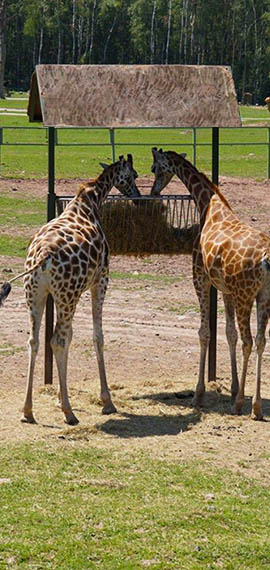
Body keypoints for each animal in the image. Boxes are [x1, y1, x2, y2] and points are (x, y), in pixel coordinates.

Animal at [0, 153, 140, 424]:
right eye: (133, 175)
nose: (138, 196)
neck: (90, 202)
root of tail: (42, 257)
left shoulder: (58, 294)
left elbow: (71, 336)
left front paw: (57, 397)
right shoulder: (101, 279)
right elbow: (97, 336)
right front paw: (107, 401)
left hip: (35, 294)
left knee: (34, 340)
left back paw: (28, 410)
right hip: (67, 295)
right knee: (57, 340)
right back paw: (69, 412)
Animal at [151, 149, 270, 420]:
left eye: (155, 168)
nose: (153, 190)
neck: (208, 204)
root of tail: (266, 258)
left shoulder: (200, 277)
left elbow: (205, 332)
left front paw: (199, 394)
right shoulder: (225, 289)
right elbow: (229, 334)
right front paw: (234, 387)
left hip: (246, 296)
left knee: (249, 341)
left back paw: (241, 404)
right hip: (263, 297)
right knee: (260, 341)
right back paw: (255, 406)